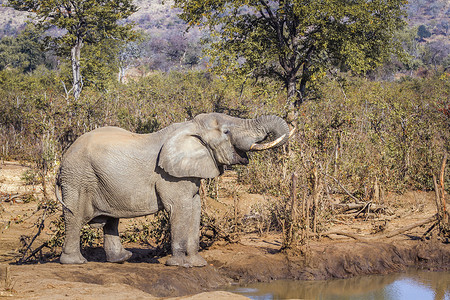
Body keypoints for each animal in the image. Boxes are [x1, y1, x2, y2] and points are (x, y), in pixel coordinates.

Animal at [55, 112, 292, 268]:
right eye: (226, 131)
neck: (190, 127)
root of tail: (62, 161)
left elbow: (195, 207)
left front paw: (198, 264)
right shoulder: (169, 175)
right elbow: (179, 208)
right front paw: (179, 265)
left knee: (111, 220)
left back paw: (122, 258)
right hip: (78, 177)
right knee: (75, 216)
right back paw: (75, 262)